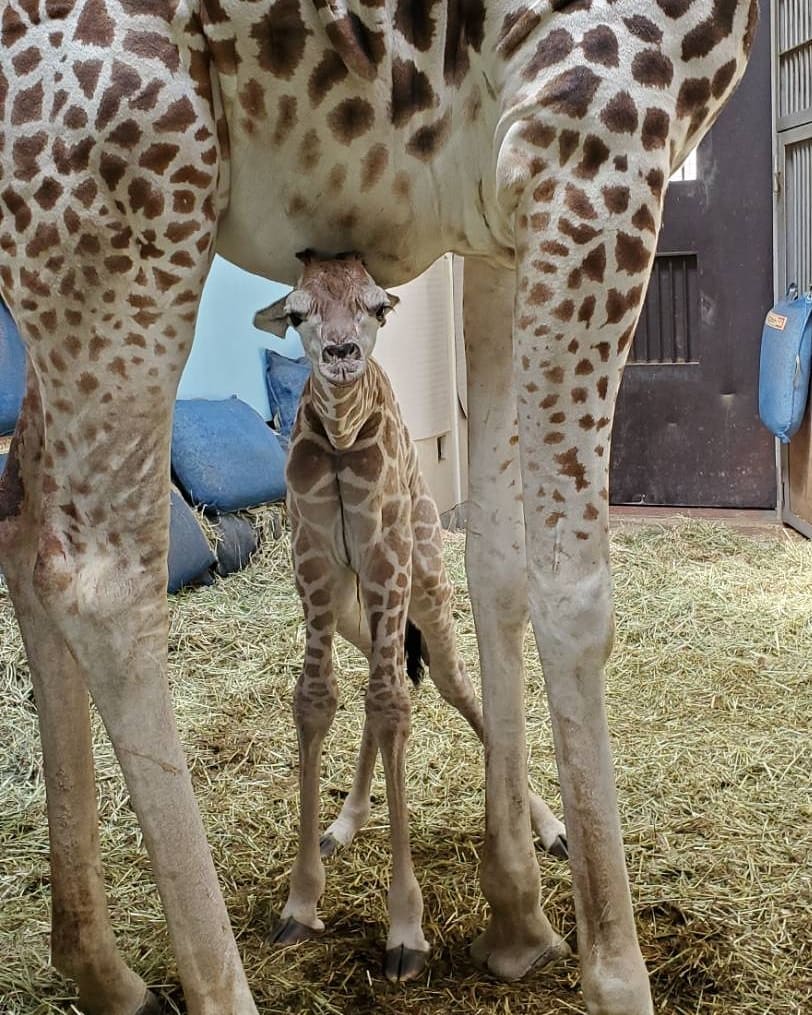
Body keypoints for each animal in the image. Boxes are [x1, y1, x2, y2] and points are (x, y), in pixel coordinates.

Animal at [253, 251, 569, 982]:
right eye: (297, 312)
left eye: (377, 306)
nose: (341, 354)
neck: (343, 438)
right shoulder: (314, 561)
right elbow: (317, 698)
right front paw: (300, 902)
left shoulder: (386, 555)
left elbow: (394, 702)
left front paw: (405, 930)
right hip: (359, 614)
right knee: (379, 684)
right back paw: (343, 822)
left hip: (425, 596)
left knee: (455, 689)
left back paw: (551, 829)